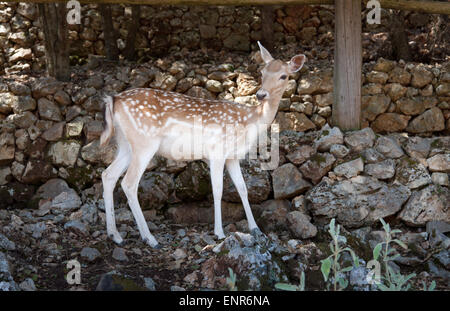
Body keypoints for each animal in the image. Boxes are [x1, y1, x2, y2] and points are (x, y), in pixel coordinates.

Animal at [100, 42, 308, 250]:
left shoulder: (233, 157)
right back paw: (149, 238)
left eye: (283, 75)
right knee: (129, 183)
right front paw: (219, 232)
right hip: (144, 142)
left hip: (125, 144)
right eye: (262, 72)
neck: (249, 122)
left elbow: (242, 188)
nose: (261, 94)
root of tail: (113, 100)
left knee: (108, 174)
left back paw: (115, 235)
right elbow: (217, 190)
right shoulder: (217, 152)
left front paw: (256, 229)